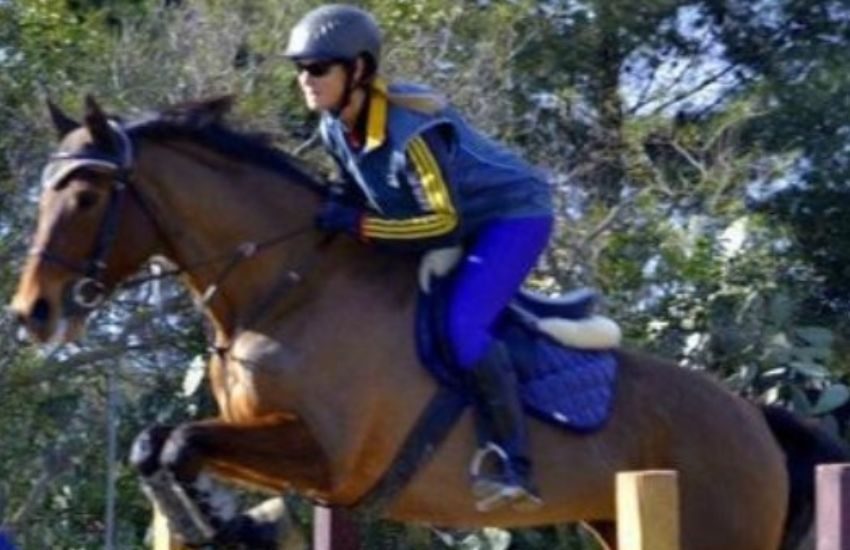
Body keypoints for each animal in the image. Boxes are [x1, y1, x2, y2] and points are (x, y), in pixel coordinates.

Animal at [9, 95, 850, 550]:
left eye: (85, 196)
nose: (30, 313)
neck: (286, 288)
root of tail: (754, 417)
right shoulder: (269, 442)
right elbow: (157, 445)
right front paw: (225, 518)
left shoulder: (330, 460)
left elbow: (179, 441)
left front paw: (232, 521)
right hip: (616, 519)